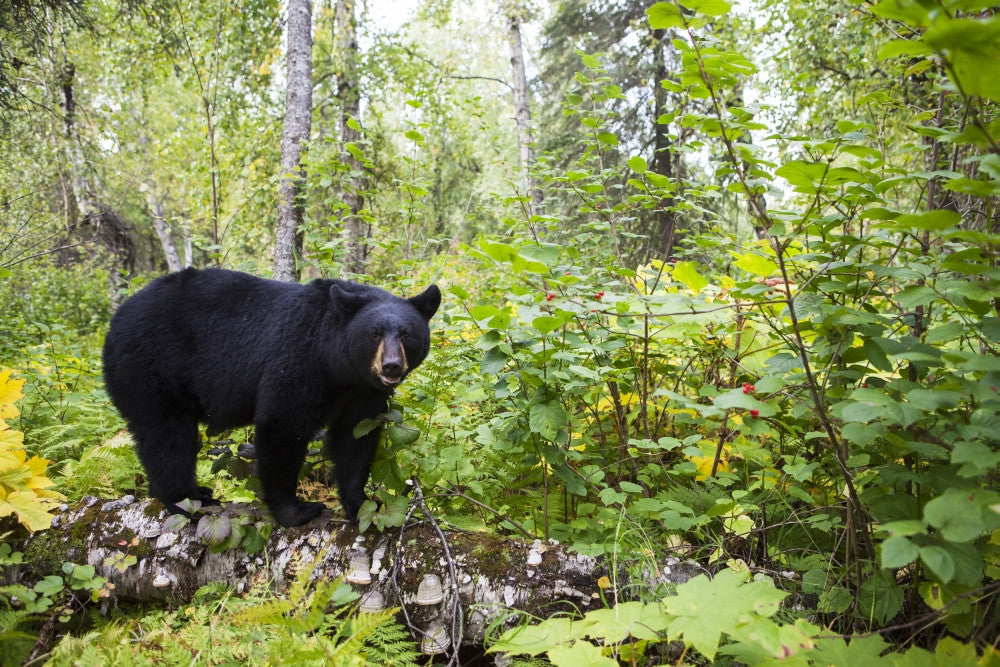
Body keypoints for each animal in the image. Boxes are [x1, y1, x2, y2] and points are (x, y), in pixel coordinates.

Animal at [102, 267, 440, 527]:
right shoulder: (298, 357)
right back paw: (189, 499)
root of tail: (115, 320)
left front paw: (363, 505)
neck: (339, 367)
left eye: (407, 334)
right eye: (374, 334)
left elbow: (356, 437)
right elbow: (282, 424)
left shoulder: (364, 392)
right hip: (151, 367)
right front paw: (297, 511)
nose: (391, 366)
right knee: (167, 435)